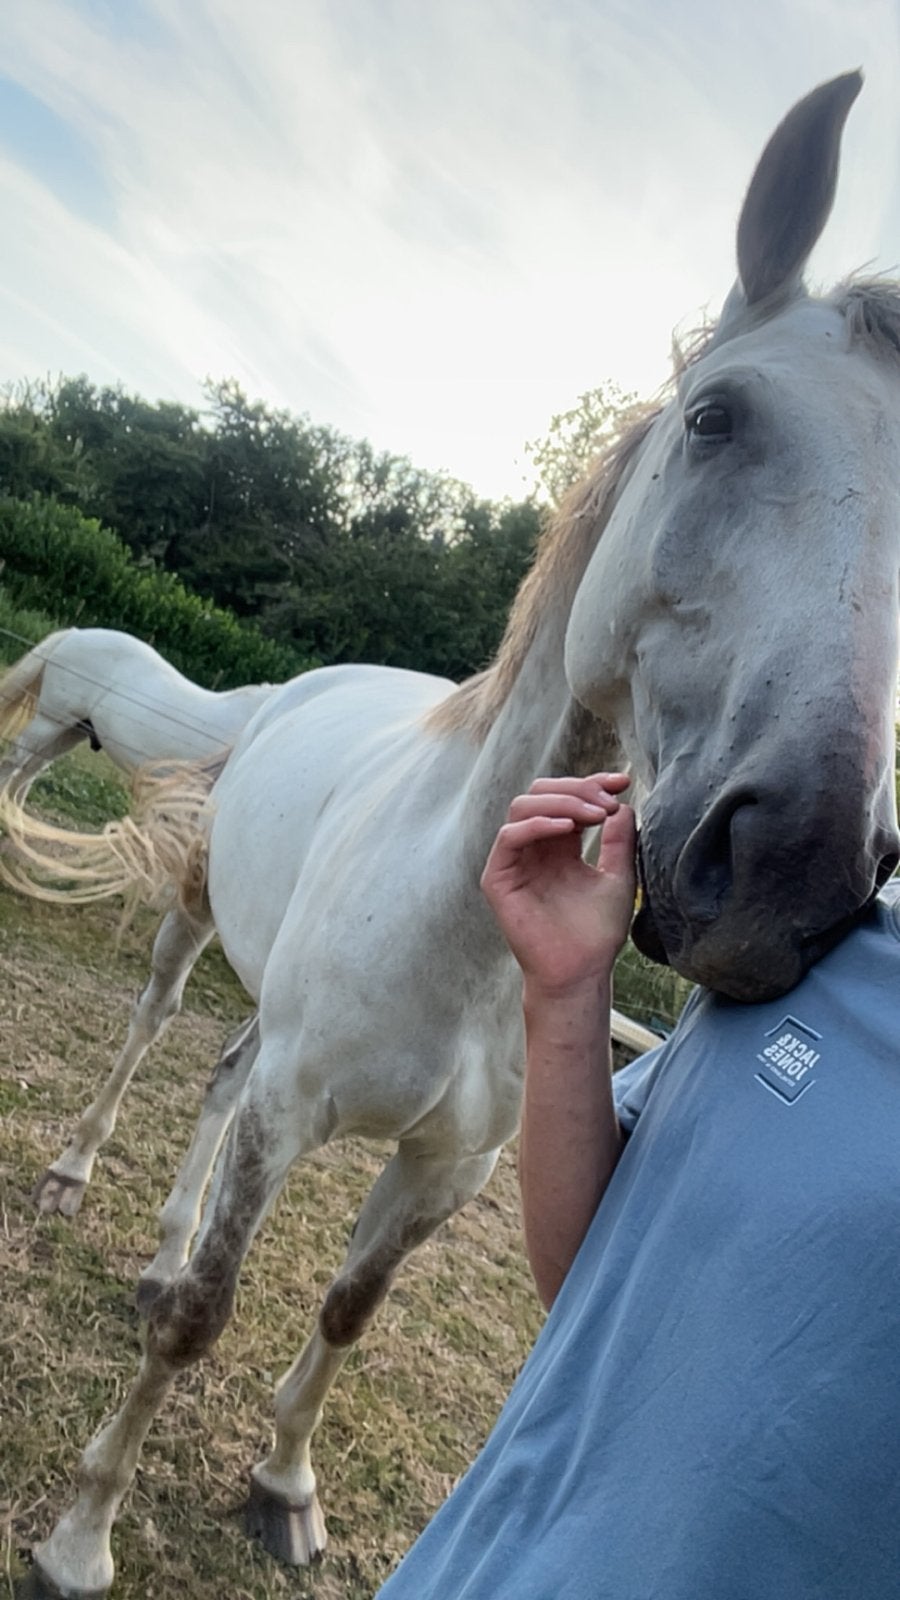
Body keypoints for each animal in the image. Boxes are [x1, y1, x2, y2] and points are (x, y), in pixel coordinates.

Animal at [17, 73, 900, 1598]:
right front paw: (83, 1533)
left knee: (215, 1079)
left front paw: (286, 1481)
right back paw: (78, 1177)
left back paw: (159, 1243)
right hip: (196, 924)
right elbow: (204, 1319)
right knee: (155, 1030)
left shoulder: (449, 1167)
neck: (460, 930)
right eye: (716, 419)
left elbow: (347, 1306)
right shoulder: (297, 1110)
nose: (791, 873)